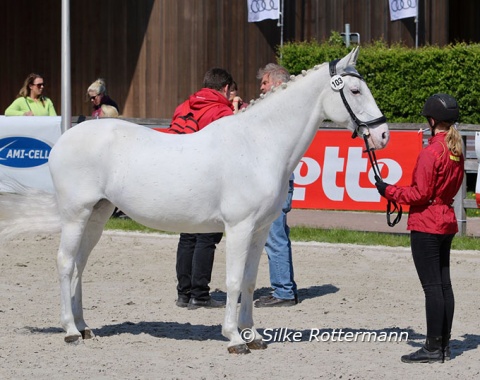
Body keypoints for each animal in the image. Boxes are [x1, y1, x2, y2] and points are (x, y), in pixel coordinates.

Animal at [0, 47, 390, 354]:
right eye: (355, 89)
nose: (383, 135)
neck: (258, 144)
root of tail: (66, 138)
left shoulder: (260, 229)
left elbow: (249, 282)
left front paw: (254, 336)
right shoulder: (239, 227)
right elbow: (233, 281)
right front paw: (234, 338)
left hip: (98, 214)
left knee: (80, 265)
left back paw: (84, 327)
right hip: (75, 214)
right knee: (65, 263)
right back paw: (69, 330)